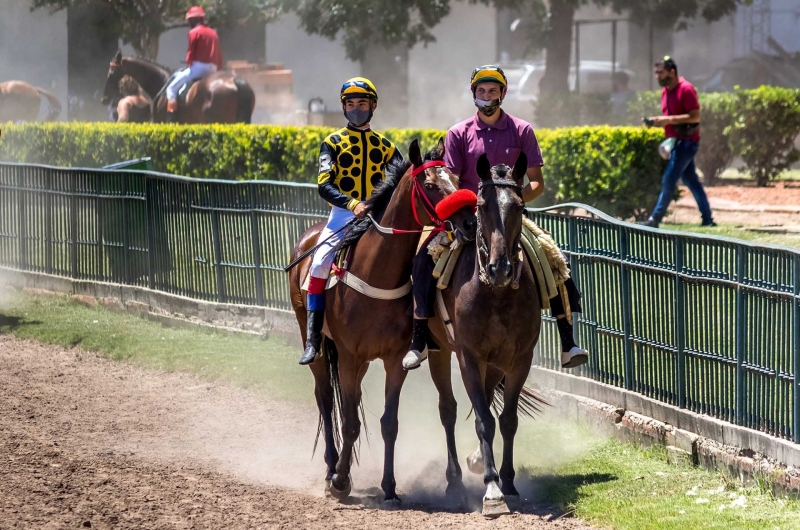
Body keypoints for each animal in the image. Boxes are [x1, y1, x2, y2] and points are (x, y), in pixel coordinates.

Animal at [290, 138, 472, 502]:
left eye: (458, 180)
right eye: (431, 185)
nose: (469, 223)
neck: (376, 274)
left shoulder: (393, 359)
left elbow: (389, 422)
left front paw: (389, 487)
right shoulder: (348, 355)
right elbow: (348, 421)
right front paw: (340, 481)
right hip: (316, 339)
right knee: (325, 399)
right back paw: (331, 469)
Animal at [434, 153, 548, 516]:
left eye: (519, 206)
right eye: (482, 205)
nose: (500, 269)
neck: (495, 294)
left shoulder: (519, 359)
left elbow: (507, 419)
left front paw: (508, 482)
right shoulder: (469, 356)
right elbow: (484, 420)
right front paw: (492, 489)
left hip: (496, 363)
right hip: (442, 352)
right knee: (450, 409)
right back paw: (457, 479)